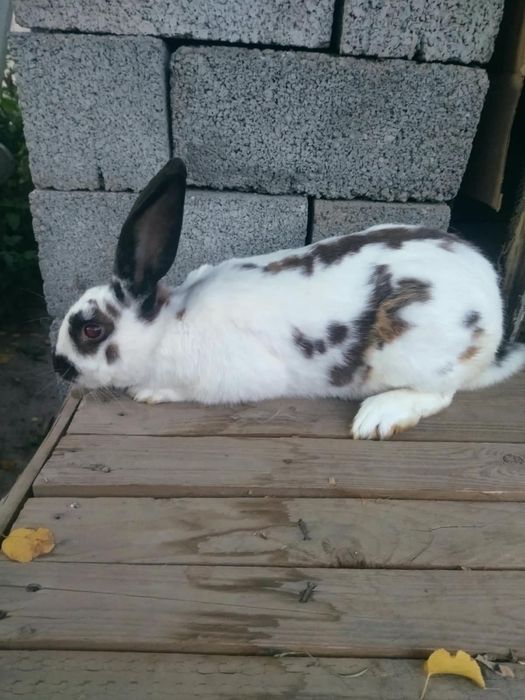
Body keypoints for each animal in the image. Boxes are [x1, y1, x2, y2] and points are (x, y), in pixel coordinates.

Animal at [52, 158, 525, 439]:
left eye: (92, 330)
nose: (59, 367)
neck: (168, 326)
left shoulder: (227, 379)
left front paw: (150, 392)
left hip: (422, 358)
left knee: (441, 394)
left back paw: (379, 416)